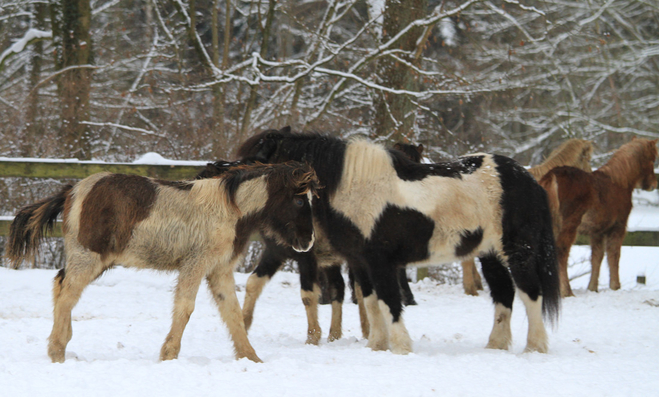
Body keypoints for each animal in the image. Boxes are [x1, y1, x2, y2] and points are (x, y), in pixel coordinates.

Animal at [6, 161, 320, 362]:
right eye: (299, 201)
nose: (308, 242)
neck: (229, 210)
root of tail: (73, 190)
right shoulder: (195, 265)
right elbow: (185, 308)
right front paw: (169, 354)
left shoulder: (219, 270)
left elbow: (232, 313)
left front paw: (251, 358)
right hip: (88, 258)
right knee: (67, 295)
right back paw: (57, 351)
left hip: (95, 262)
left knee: (61, 285)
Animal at [238, 128, 564, 354]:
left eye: (257, 160)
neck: (354, 188)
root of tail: (527, 179)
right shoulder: (360, 263)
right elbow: (371, 302)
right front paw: (377, 345)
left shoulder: (381, 262)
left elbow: (389, 301)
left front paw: (400, 346)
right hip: (490, 254)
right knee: (504, 294)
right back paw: (495, 345)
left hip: (518, 251)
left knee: (530, 293)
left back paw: (534, 347)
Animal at [540, 138, 656, 296]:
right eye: (653, 160)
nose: (654, 184)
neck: (618, 182)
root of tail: (552, 176)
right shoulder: (617, 228)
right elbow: (613, 256)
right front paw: (615, 286)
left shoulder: (597, 232)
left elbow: (596, 258)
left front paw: (592, 287)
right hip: (569, 227)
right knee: (561, 252)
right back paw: (567, 292)